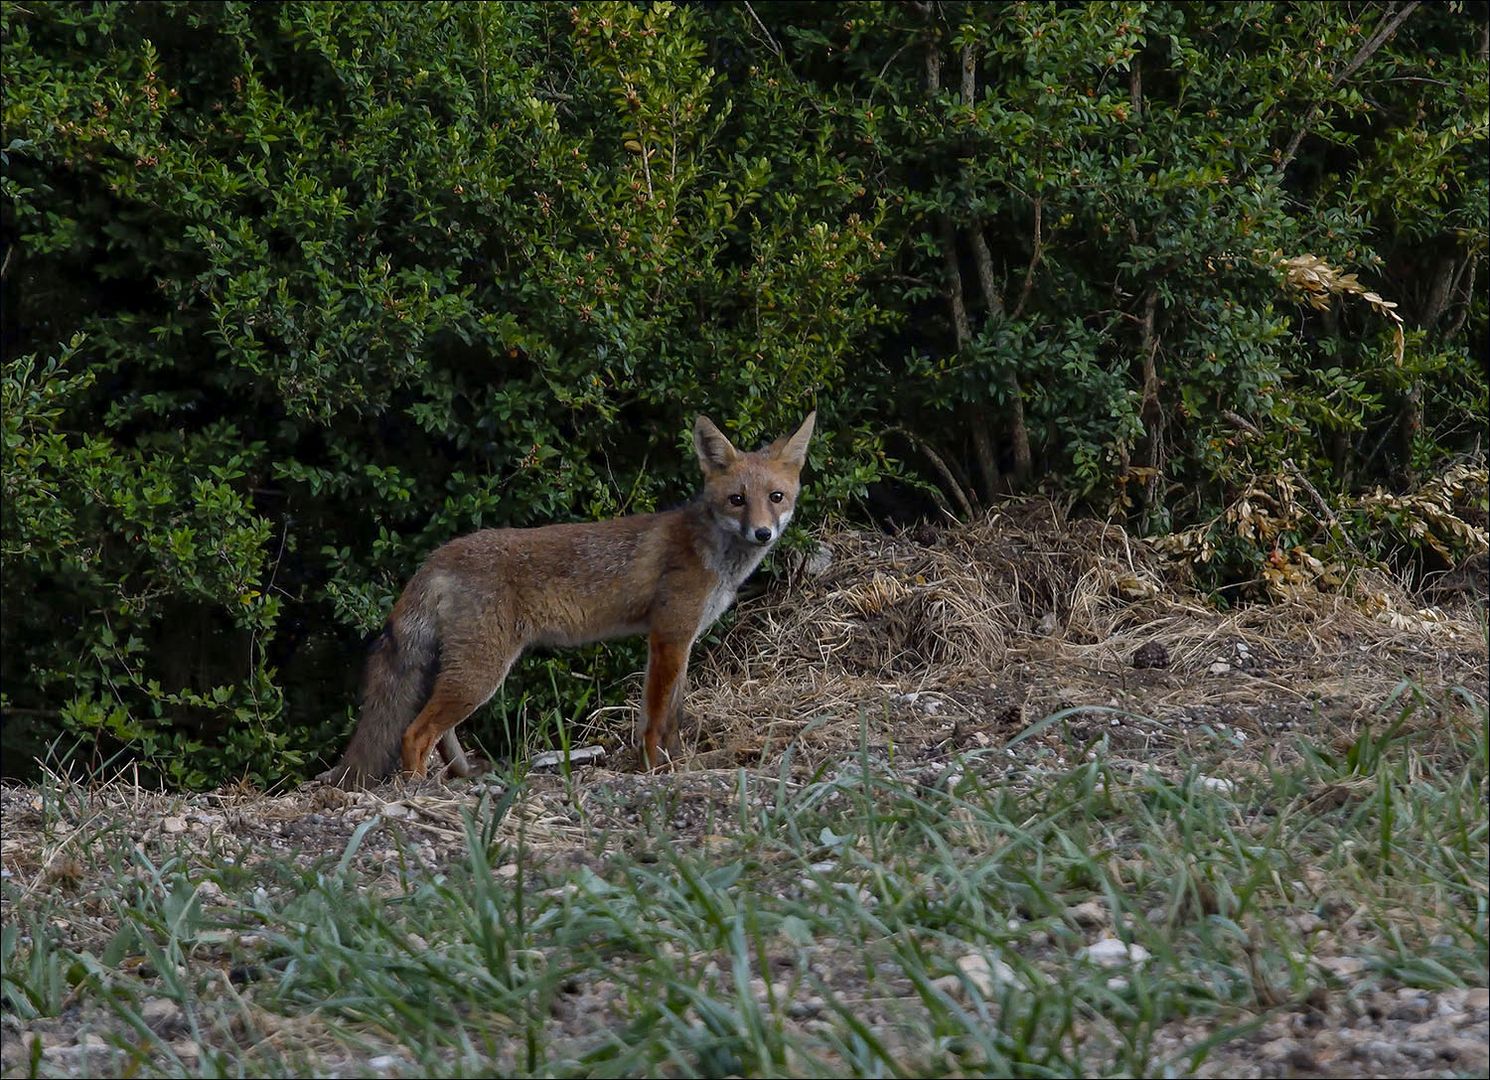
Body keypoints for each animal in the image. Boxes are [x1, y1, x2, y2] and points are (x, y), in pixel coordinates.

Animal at [314, 408, 822, 786]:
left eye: (776, 497)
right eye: (737, 500)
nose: (762, 533)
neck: (709, 551)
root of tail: (437, 556)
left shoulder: (680, 639)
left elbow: (673, 715)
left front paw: (677, 764)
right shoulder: (669, 637)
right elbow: (657, 718)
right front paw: (654, 769)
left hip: (464, 671)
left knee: (441, 731)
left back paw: (461, 777)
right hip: (481, 672)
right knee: (415, 733)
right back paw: (419, 789)